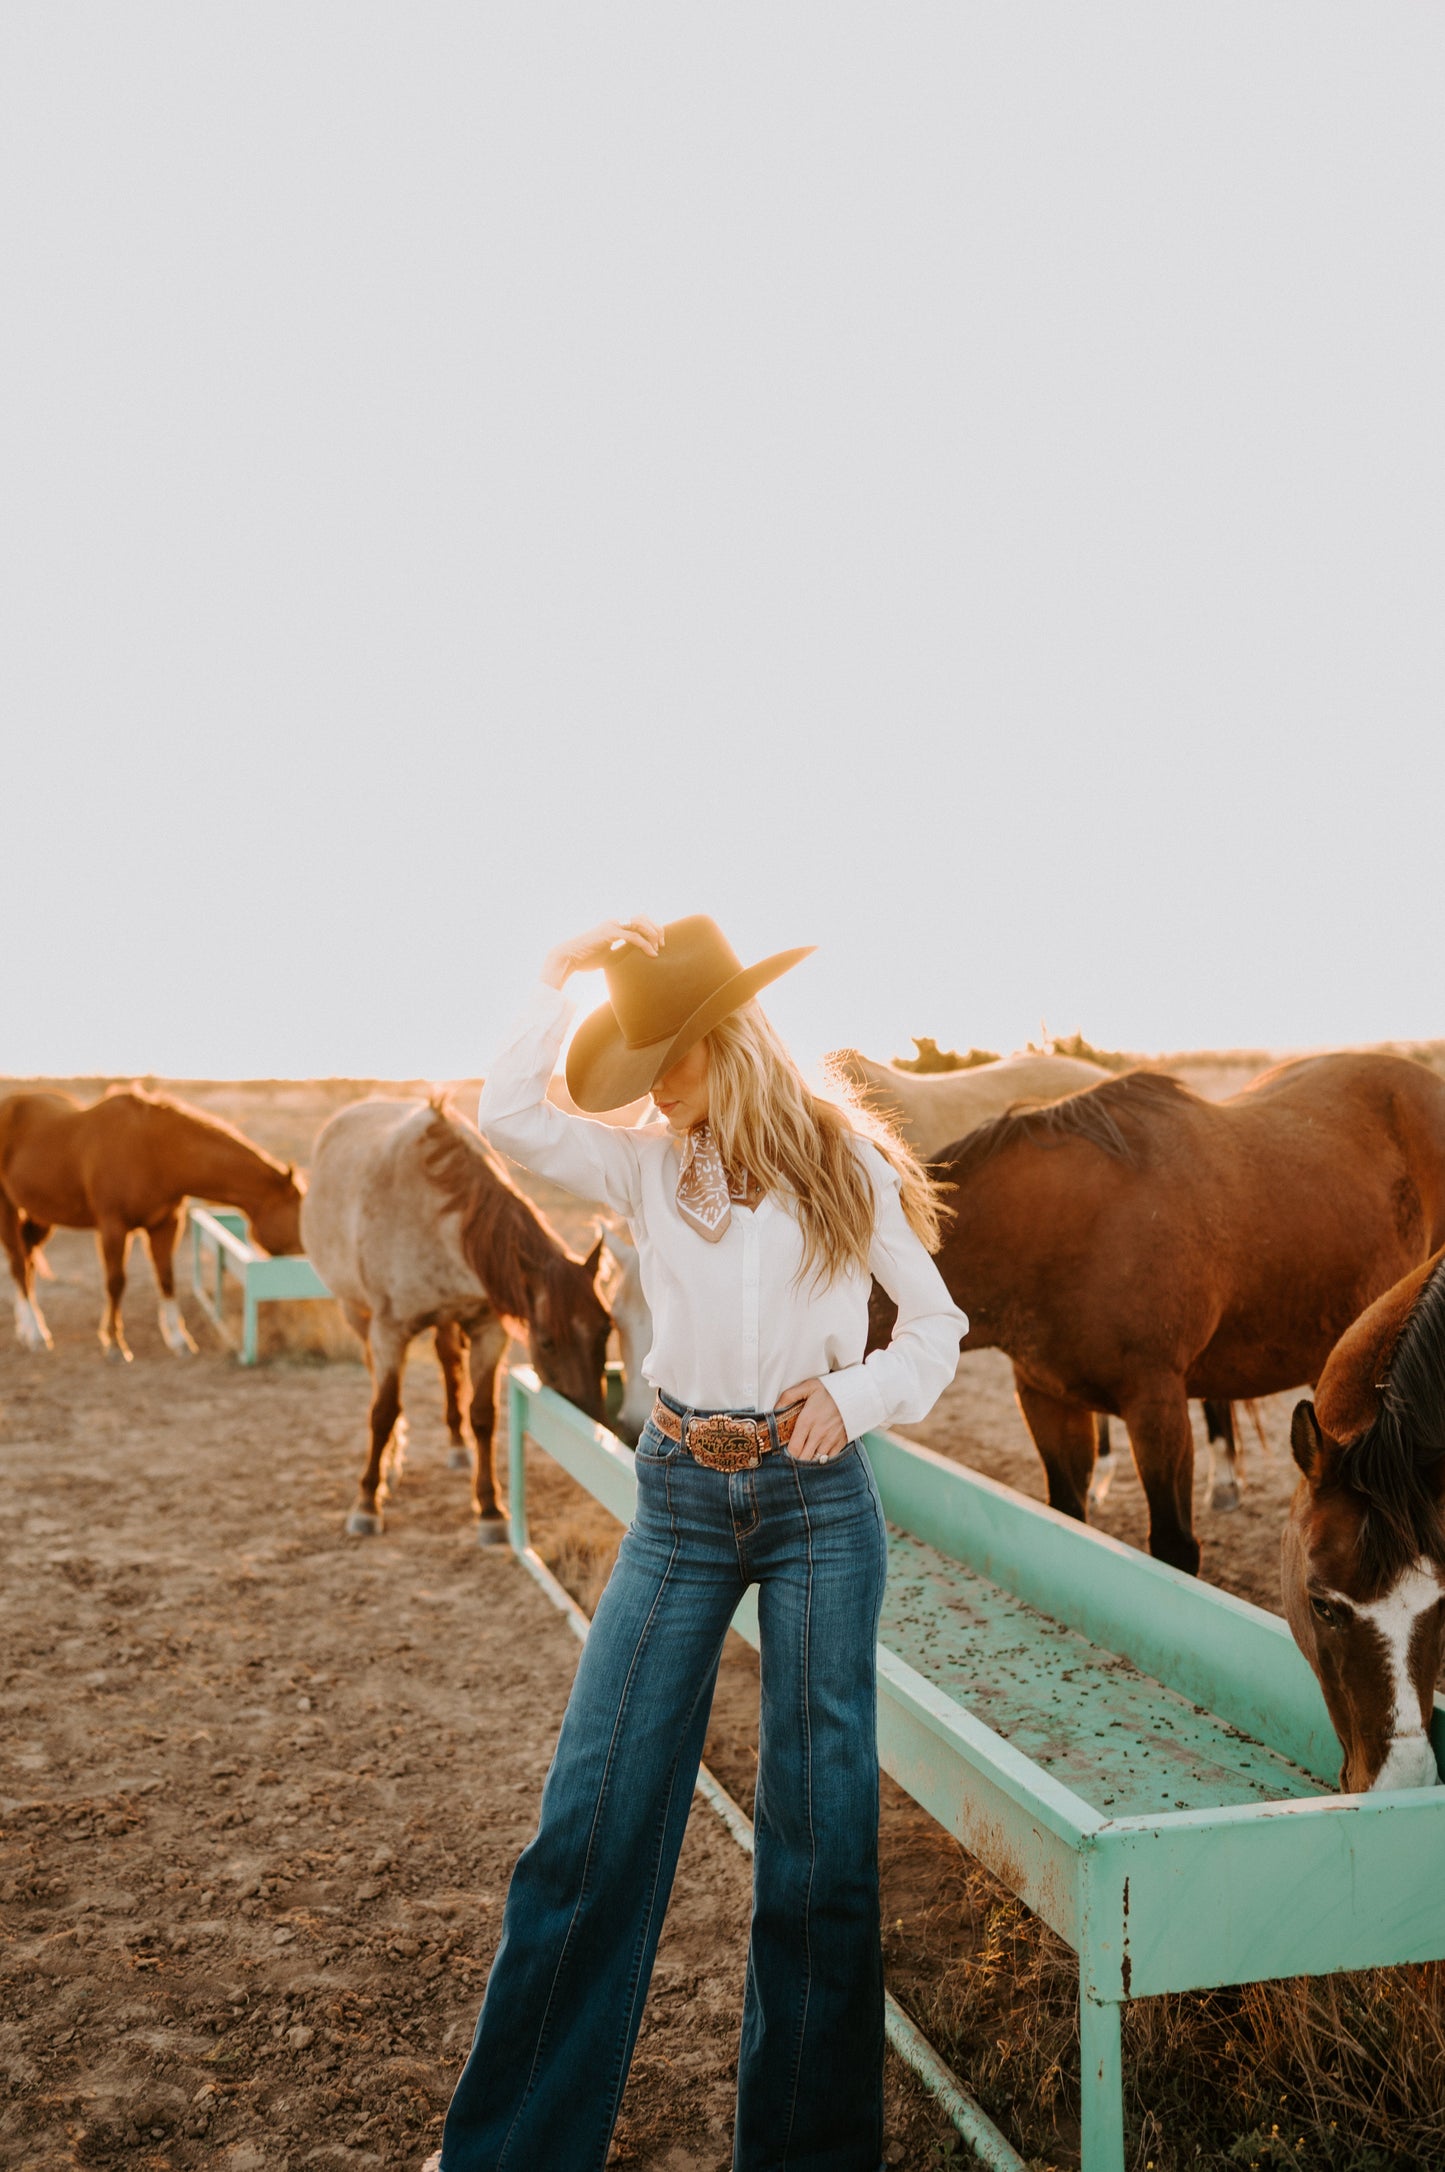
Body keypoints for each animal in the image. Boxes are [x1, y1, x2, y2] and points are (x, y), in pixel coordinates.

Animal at [0, 1086, 304, 1355]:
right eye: (300, 1220)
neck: (154, 1152)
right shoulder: (113, 1226)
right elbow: (116, 1282)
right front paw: (115, 1343)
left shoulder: (165, 1225)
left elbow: (166, 1277)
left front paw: (180, 1340)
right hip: (8, 1209)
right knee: (18, 1264)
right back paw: (35, 1334)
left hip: (42, 1215)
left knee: (27, 1260)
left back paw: (28, 1328)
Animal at [302, 1103, 612, 1546]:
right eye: (547, 1342)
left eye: (606, 1329)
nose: (591, 1419)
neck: (435, 1212)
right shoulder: (389, 1332)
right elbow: (383, 1412)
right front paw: (366, 1502)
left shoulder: (488, 1329)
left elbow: (483, 1414)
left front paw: (489, 1508)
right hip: (356, 1313)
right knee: (379, 1377)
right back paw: (391, 1464)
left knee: (448, 1362)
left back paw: (457, 1445)